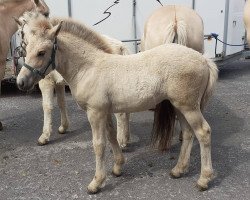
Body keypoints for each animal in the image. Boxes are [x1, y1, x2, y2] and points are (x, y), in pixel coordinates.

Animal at [16, 12, 219, 194]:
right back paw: (178, 170)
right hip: (179, 106)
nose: (21, 82)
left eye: (41, 52)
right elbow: (112, 136)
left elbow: (99, 144)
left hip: (189, 107)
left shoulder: (95, 112)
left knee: (203, 132)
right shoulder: (105, 111)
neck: (88, 68)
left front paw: (96, 183)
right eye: (26, 48)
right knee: (188, 133)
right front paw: (118, 168)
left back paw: (204, 179)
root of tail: (204, 59)